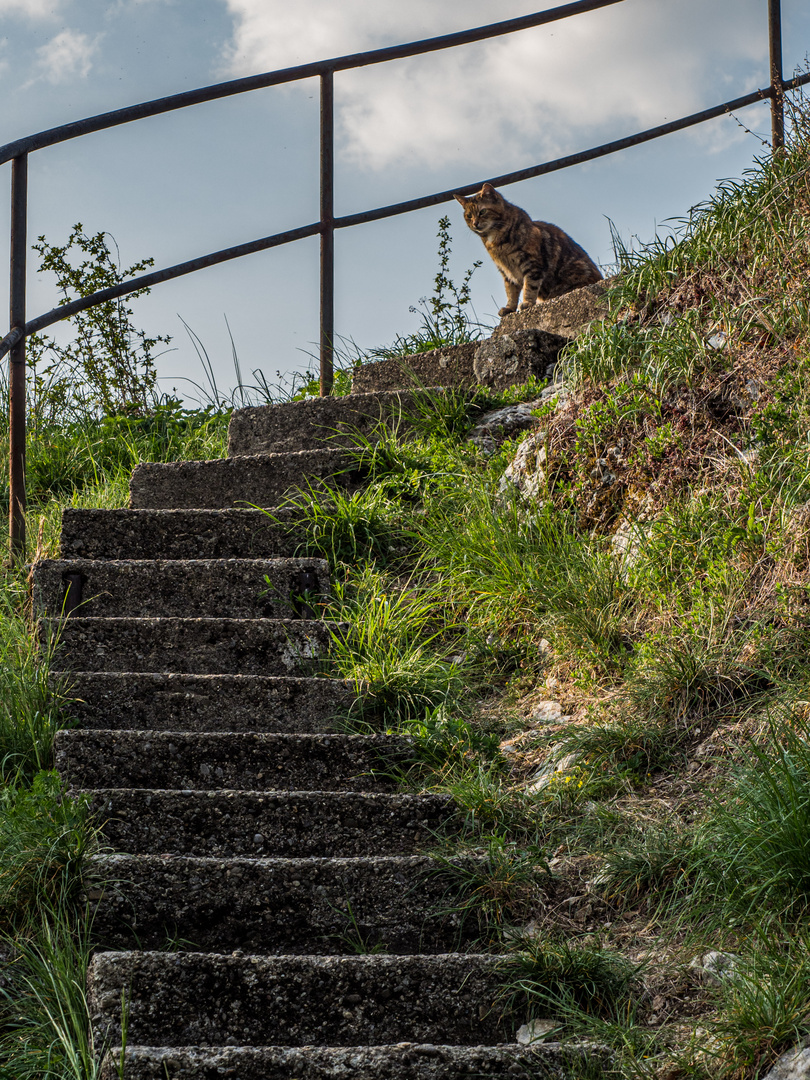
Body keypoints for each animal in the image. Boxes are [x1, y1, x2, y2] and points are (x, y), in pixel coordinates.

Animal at [457, 181, 604, 315]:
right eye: (469, 216)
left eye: (482, 211)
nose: (475, 223)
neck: (496, 243)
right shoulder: (506, 272)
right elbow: (511, 292)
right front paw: (509, 308)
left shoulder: (532, 264)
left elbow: (530, 286)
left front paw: (527, 303)